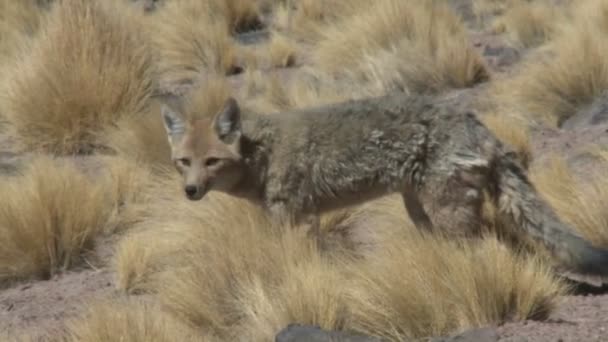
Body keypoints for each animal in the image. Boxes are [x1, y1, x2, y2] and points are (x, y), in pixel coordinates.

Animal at [160, 89, 608, 282]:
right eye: (184, 163)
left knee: (485, 248)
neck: (263, 154)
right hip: (421, 212)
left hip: (447, 214)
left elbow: (292, 263)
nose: (190, 191)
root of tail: (474, 123)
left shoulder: (296, 219)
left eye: (212, 162)